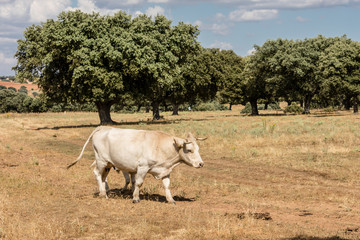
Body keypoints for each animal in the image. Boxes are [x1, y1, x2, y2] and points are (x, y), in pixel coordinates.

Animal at [67, 126, 205, 203]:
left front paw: (171, 200)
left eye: (198, 149)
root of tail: (103, 128)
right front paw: (136, 198)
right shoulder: (142, 167)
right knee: (97, 173)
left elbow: (167, 186)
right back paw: (103, 194)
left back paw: (104, 191)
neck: (160, 145)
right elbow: (138, 183)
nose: (201, 164)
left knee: (103, 177)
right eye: (189, 150)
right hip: (101, 160)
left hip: (108, 164)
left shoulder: (165, 170)